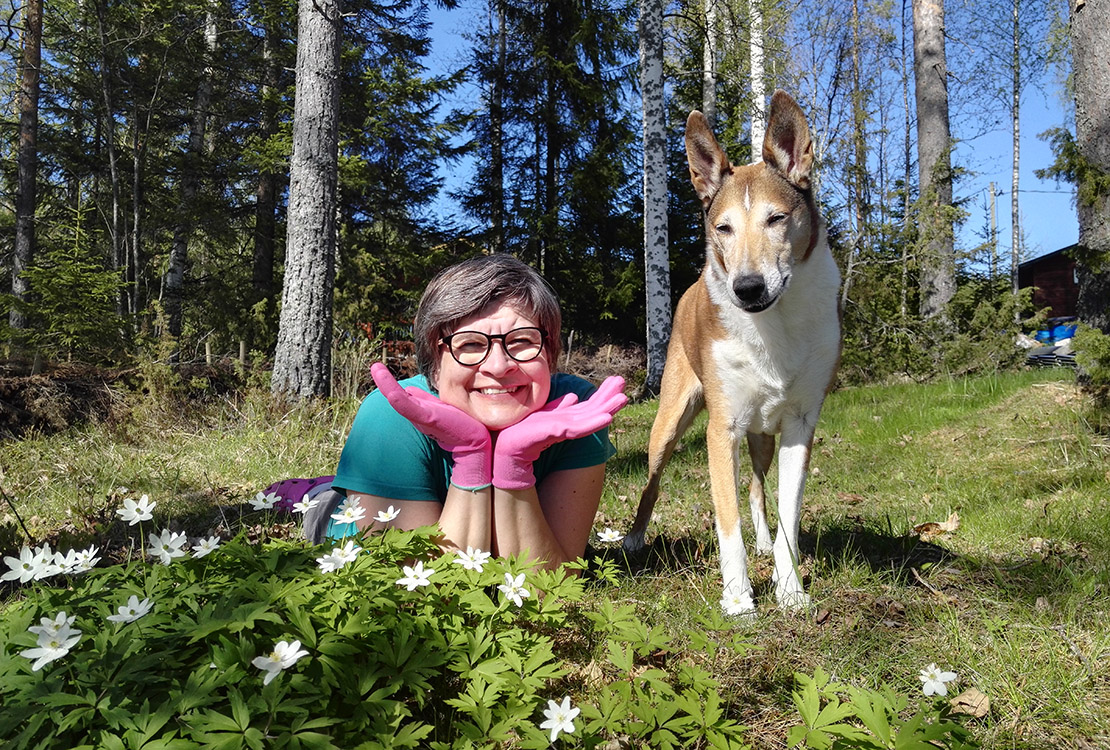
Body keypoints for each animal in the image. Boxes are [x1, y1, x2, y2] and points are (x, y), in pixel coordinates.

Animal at [626, 90, 839, 612]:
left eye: (777, 218)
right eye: (722, 228)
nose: (747, 288)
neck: (773, 324)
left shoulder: (800, 425)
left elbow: (786, 517)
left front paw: (790, 591)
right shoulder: (721, 430)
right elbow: (727, 521)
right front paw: (740, 600)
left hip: (763, 436)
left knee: (759, 487)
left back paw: (763, 541)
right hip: (669, 422)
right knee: (652, 483)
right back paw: (634, 538)